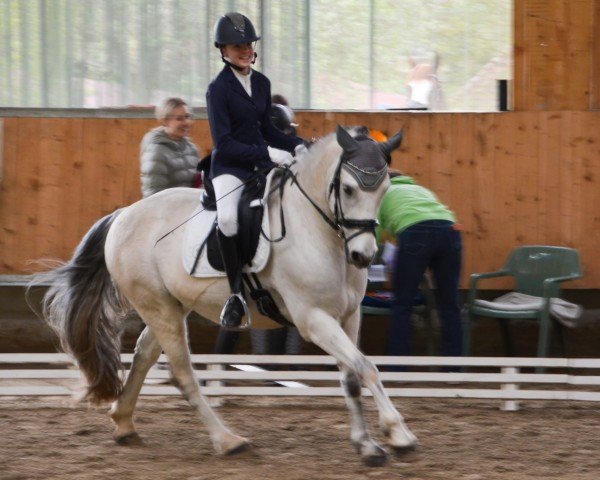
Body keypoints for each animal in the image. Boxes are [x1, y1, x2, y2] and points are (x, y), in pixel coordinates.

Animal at [38, 125, 418, 466]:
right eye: (349, 189)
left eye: (385, 189)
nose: (363, 256)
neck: (317, 229)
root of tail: (124, 214)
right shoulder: (313, 319)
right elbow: (367, 367)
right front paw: (399, 434)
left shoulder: (348, 315)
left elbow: (352, 375)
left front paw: (367, 445)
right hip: (159, 307)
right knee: (183, 374)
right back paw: (227, 440)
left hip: (170, 306)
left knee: (144, 354)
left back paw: (124, 423)